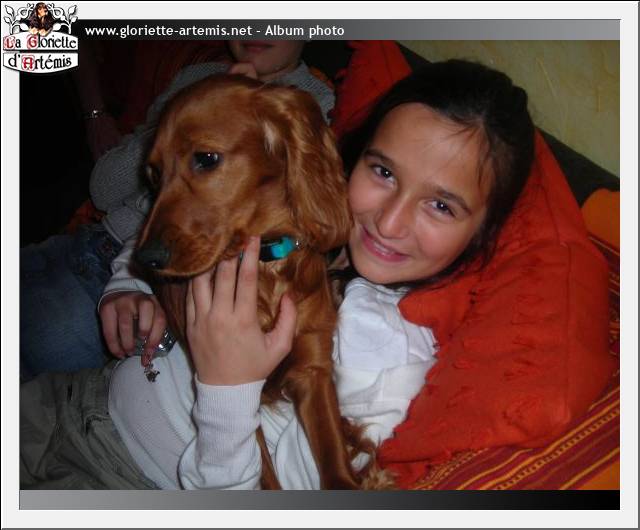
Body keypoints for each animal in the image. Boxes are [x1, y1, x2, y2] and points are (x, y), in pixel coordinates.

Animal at [134, 74, 385, 489]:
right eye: (154, 175)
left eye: (206, 158)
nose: (145, 260)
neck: (266, 267)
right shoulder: (234, 382)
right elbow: (261, 474)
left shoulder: (312, 368)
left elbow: (334, 464)